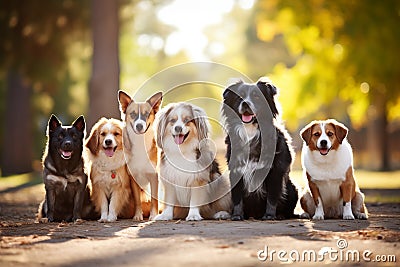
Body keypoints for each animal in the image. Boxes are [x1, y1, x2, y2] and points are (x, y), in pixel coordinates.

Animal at [119, 91, 162, 221]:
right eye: (133, 114)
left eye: (146, 114)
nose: (139, 126)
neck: (140, 142)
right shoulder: (133, 179)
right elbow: (138, 200)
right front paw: (138, 215)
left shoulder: (154, 177)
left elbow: (154, 200)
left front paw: (154, 215)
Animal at [222, 78, 296, 221]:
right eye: (239, 96)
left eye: (257, 96)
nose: (245, 103)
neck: (250, 130)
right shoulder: (236, 170)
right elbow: (237, 198)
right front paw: (237, 215)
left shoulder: (275, 171)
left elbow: (272, 197)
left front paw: (269, 215)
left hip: (292, 189)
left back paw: (280, 215)